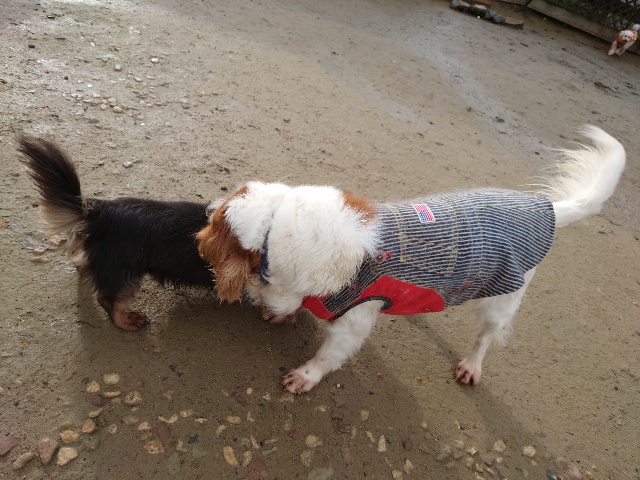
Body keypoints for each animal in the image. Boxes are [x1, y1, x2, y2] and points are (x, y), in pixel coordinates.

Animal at [196, 126, 625, 393]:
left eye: (216, 224)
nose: (207, 210)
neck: (276, 226)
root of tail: (544, 208)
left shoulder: (352, 323)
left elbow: (325, 358)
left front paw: (304, 376)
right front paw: (282, 314)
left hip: (500, 302)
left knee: (486, 337)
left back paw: (472, 365)